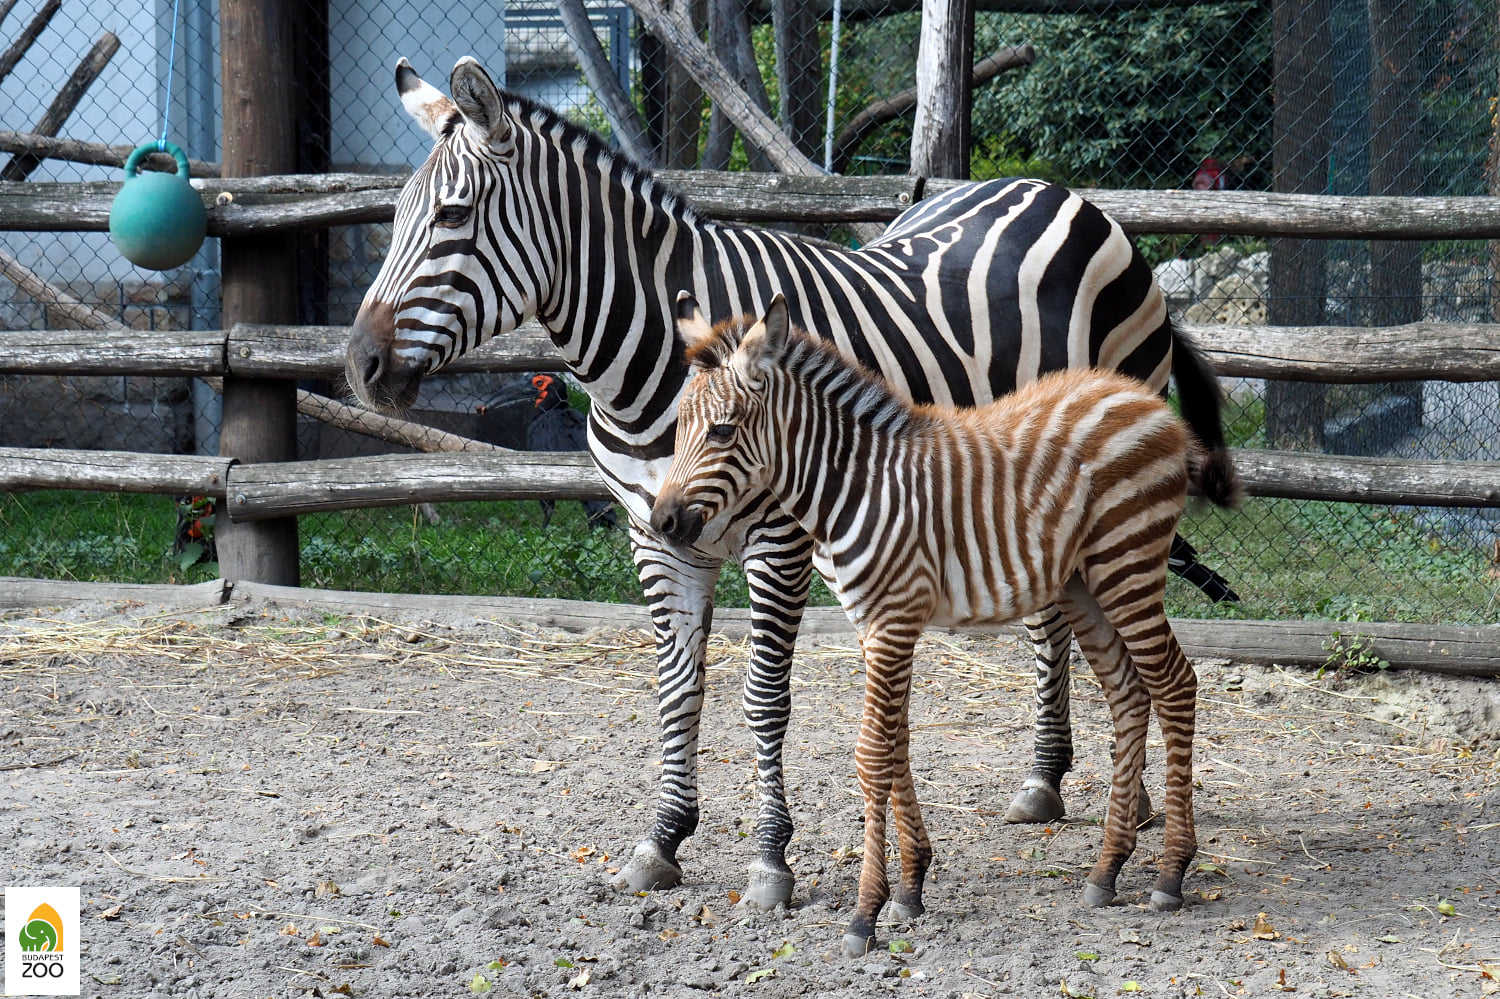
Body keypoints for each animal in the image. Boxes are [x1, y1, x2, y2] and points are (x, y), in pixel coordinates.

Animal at [651, 292, 1236, 954]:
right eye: (678, 430)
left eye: (723, 430)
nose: (662, 523)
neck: (852, 486)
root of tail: (1143, 398)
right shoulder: (876, 623)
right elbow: (897, 743)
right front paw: (910, 887)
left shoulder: (893, 618)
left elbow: (872, 755)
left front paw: (864, 914)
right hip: (1085, 584)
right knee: (1129, 696)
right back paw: (1107, 871)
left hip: (1127, 564)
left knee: (1175, 685)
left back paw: (1170, 873)